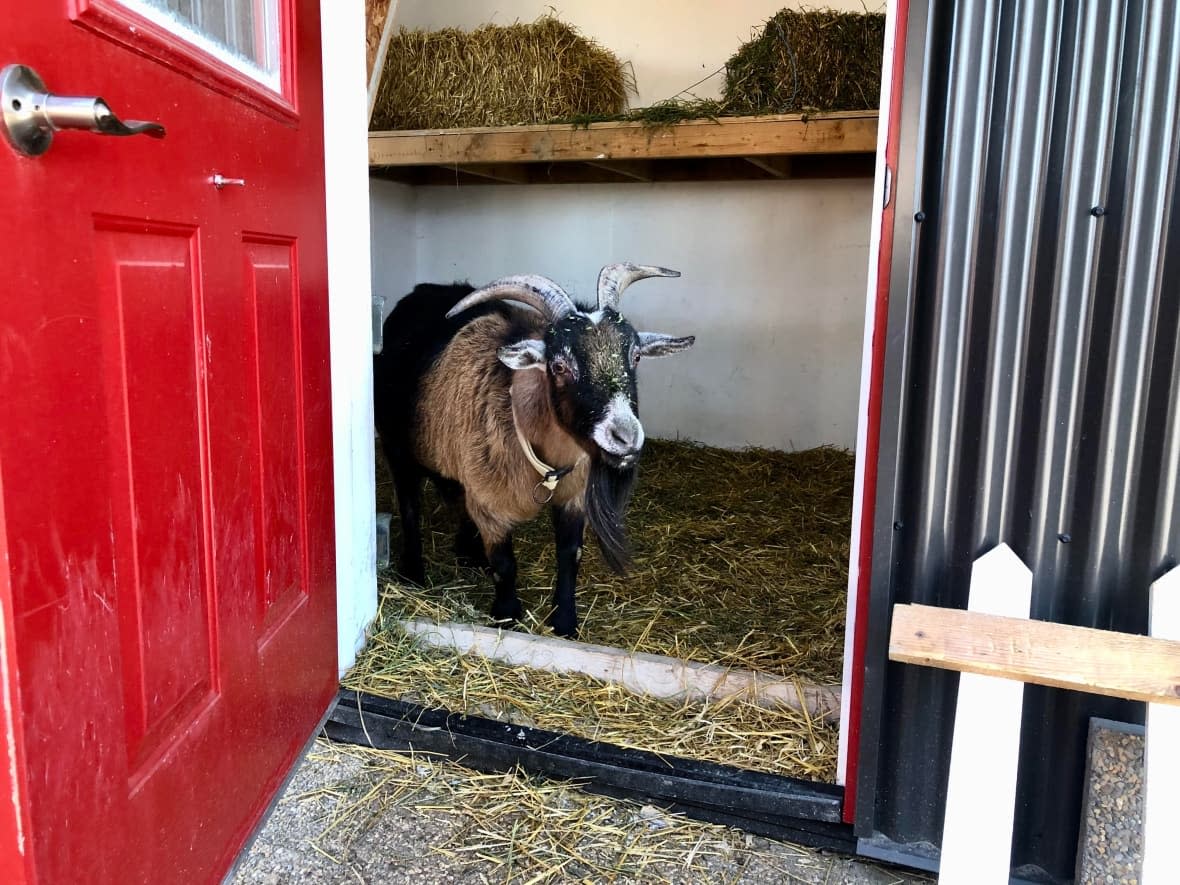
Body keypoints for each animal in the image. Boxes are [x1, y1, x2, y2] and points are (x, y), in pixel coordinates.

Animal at [372, 263, 693, 637]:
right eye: (559, 365)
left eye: (636, 356)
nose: (625, 438)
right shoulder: (491, 505)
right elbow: (504, 563)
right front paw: (507, 615)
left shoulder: (572, 497)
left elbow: (570, 555)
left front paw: (565, 621)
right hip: (397, 446)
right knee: (409, 505)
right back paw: (413, 571)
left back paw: (468, 552)